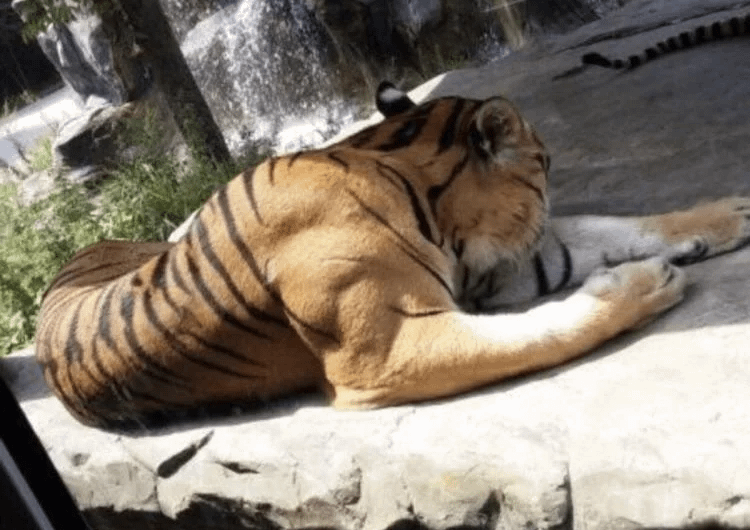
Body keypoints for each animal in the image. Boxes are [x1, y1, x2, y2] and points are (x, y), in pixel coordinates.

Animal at [35, 81, 750, 429]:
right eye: (544, 165)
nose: (544, 195)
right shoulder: (389, 348)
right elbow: (544, 330)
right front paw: (641, 284)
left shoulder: (504, 270)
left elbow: (612, 226)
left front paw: (727, 215)